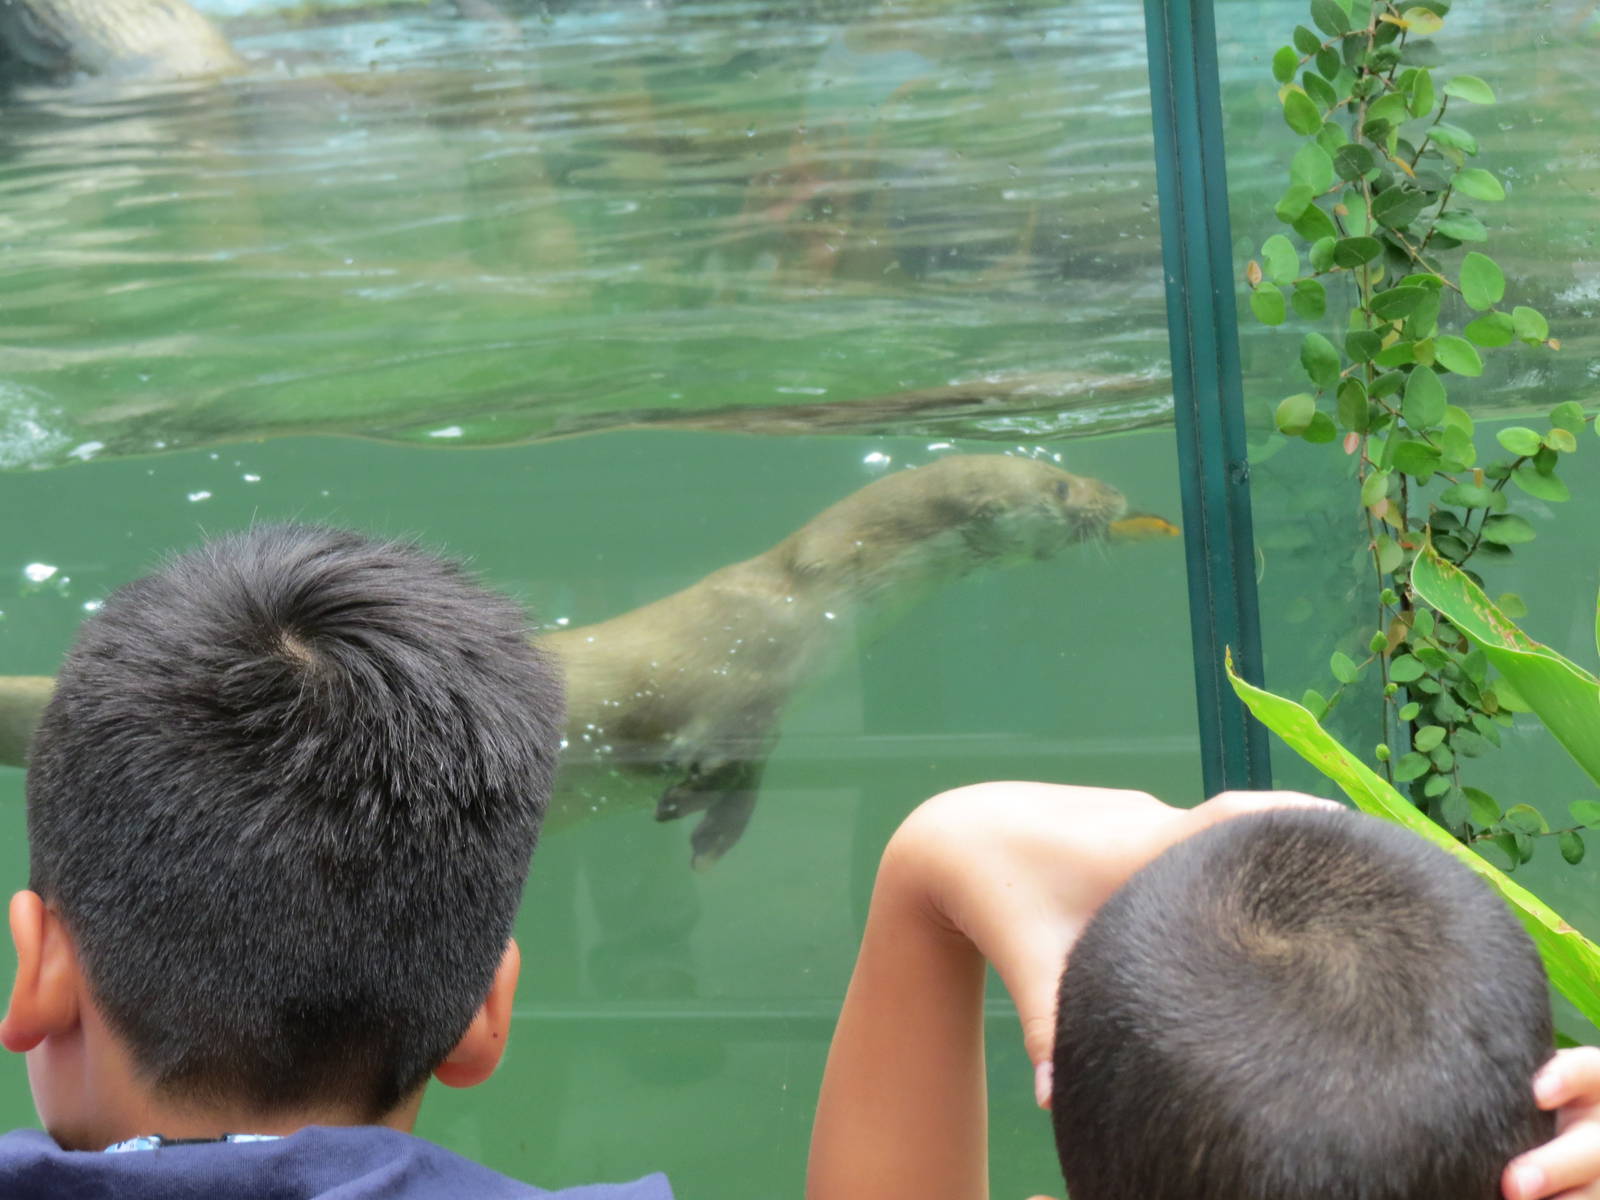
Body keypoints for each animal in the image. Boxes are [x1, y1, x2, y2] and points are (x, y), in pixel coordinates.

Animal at [0, 456, 1166, 865]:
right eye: (1060, 488)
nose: (1114, 496)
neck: (810, 599)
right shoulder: (748, 683)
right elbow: (727, 756)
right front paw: (699, 817)